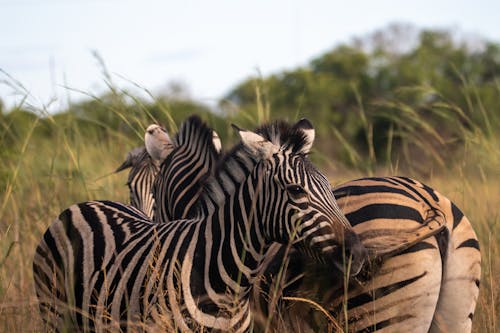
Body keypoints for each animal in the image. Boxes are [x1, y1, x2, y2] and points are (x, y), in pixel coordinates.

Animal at [32, 115, 368, 330]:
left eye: (329, 186)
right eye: (296, 191)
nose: (360, 254)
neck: (228, 286)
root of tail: (82, 204)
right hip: (55, 314)